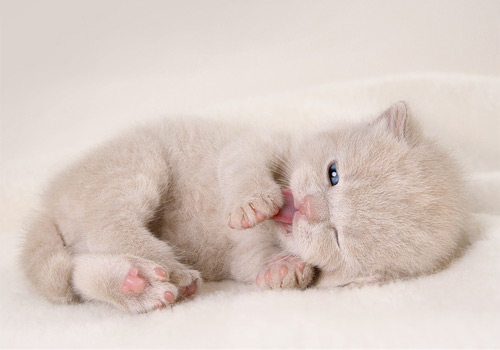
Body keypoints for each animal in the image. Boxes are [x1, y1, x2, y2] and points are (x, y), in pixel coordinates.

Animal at [21, 102, 470, 314]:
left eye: (338, 237)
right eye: (334, 174)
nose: (307, 207)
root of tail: (48, 200)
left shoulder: (242, 258)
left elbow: (256, 264)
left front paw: (287, 271)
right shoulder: (256, 142)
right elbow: (243, 160)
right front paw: (252, 203)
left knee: (78, 264)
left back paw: (140, 283)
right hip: (140, 162)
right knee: (104, 224)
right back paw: (161, 271)